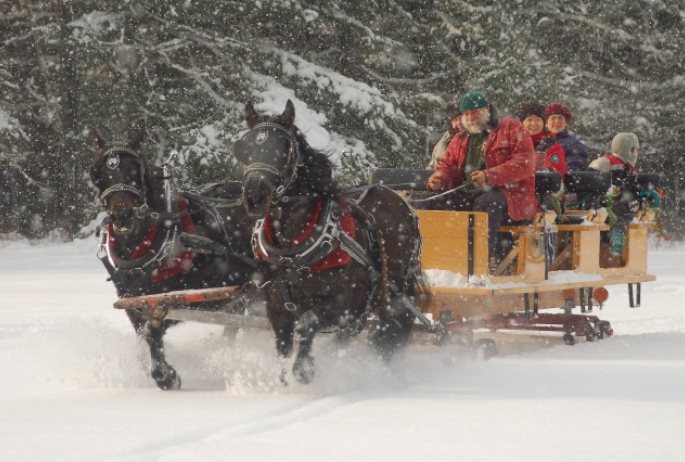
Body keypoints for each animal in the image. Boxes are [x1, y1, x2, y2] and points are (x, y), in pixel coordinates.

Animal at [87, 125, 255, 390]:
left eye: (135, 170)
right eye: (100, 171)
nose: (123, 214)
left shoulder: (187, 299)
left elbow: (153, 329)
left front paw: (166, 375)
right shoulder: (132, 303)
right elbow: (143, 333)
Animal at [234, 102, 428, 386]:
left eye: (284, 148)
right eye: (245, 147)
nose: (254, 197)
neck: (292, 252)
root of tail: (398, 197)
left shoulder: (341, 302)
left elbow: (307, 322)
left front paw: (303, 370)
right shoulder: (276, 307)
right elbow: (282, 347)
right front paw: (283, 381)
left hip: (393, 291)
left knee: (392, 325)